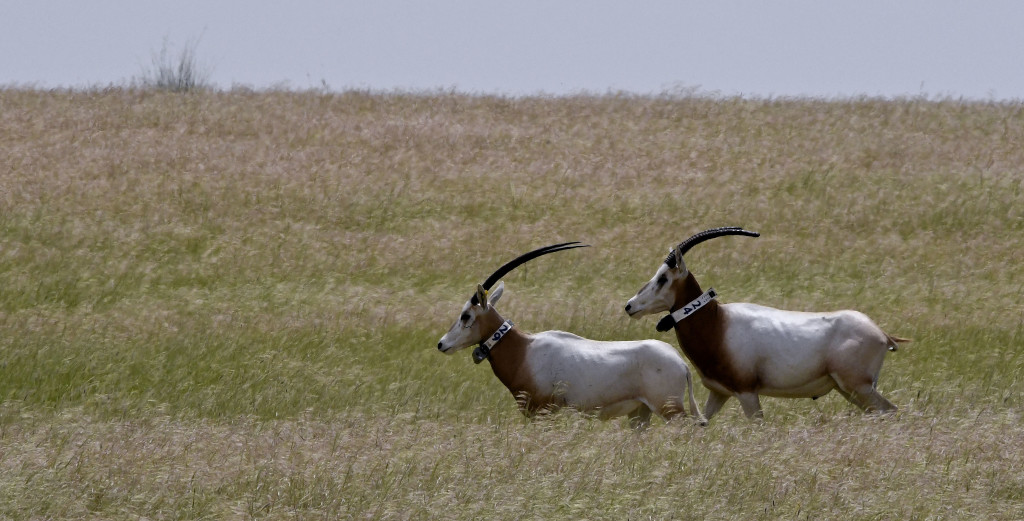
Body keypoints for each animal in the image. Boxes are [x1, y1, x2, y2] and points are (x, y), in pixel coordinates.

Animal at [438, 242, 705, 427]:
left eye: (465, 316)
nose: (442, 344)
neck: (524, 349)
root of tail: (681, 362)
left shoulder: (542, 411)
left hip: (670, 410)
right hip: (640, 413)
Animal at [624, 227, 907, 421]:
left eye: (663, 278)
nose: (630, 306)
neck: (718, 322)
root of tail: (882, 334)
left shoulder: (747, 393)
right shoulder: (719, 392)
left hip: (859, 387)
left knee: (890, 410)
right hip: (850, 390)